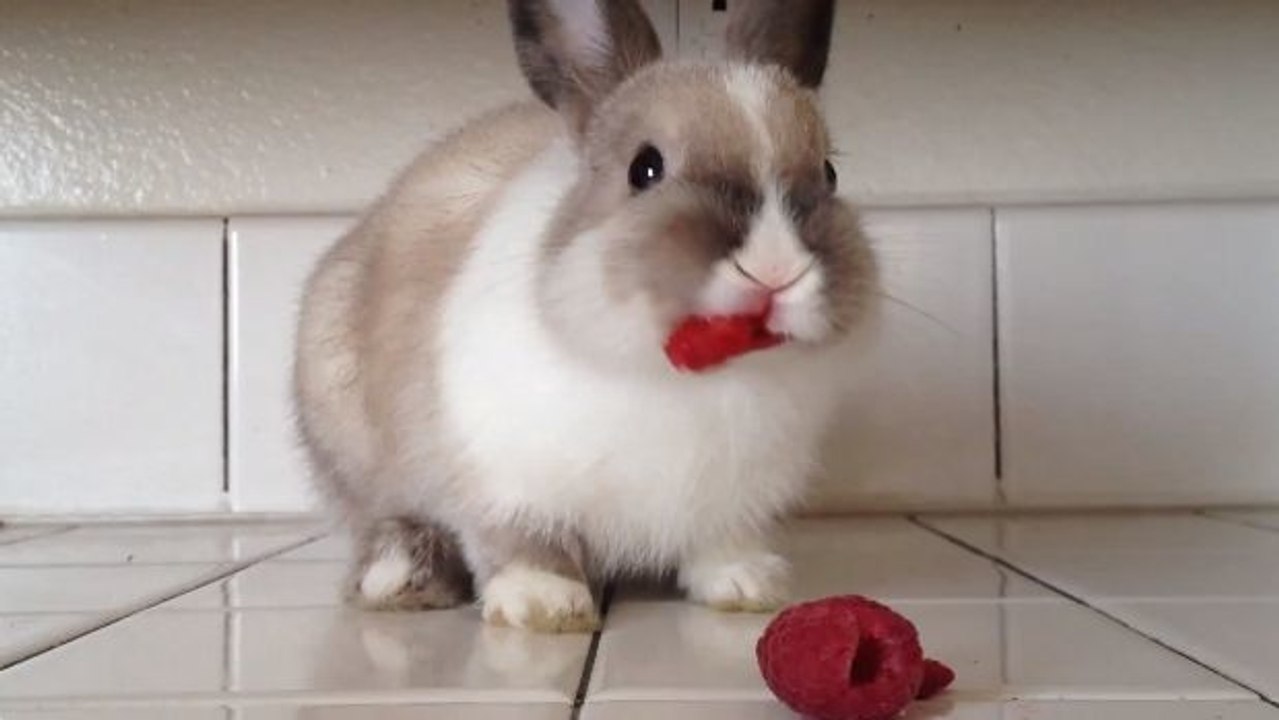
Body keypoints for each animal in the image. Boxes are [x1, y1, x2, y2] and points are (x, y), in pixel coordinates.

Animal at [293, 0, 878, 633]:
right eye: (644, 169)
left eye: (829, 173)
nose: (775, 268)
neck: (674, 373)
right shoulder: (502, 478)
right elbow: (521, 541)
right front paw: (544, 603)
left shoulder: (733, 501)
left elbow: (721, 544)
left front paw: (747, 585)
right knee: (379, 520)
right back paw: (401, 576)